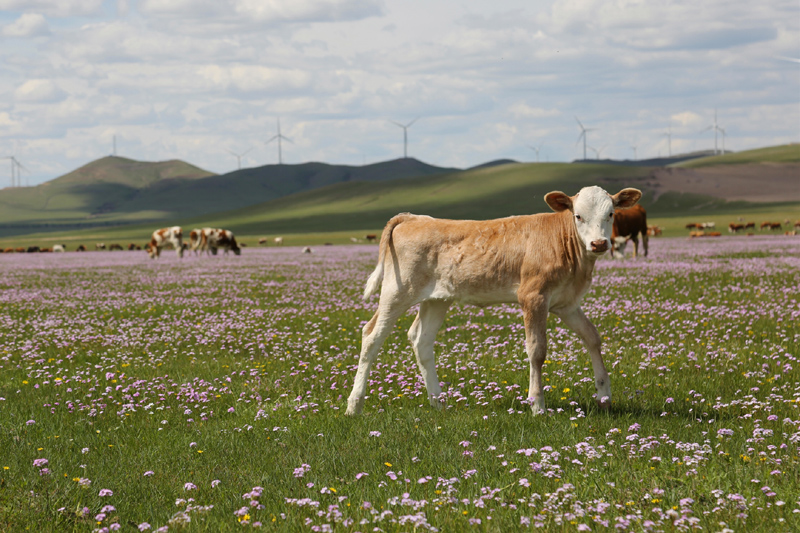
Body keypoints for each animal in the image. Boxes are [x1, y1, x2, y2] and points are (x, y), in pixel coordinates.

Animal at [346, 186, 644, 416]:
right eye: (578, 216)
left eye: (611, 214)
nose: (599, 244)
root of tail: (413, 217)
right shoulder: (533, 297)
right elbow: (537, 350)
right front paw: (537, 405)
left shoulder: (567, 303)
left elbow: (593, 338)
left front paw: (604, 396)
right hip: (397, 291)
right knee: (371, 336)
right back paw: (354, 405)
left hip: (437, 299)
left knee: (421, 340)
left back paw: (438, 403)